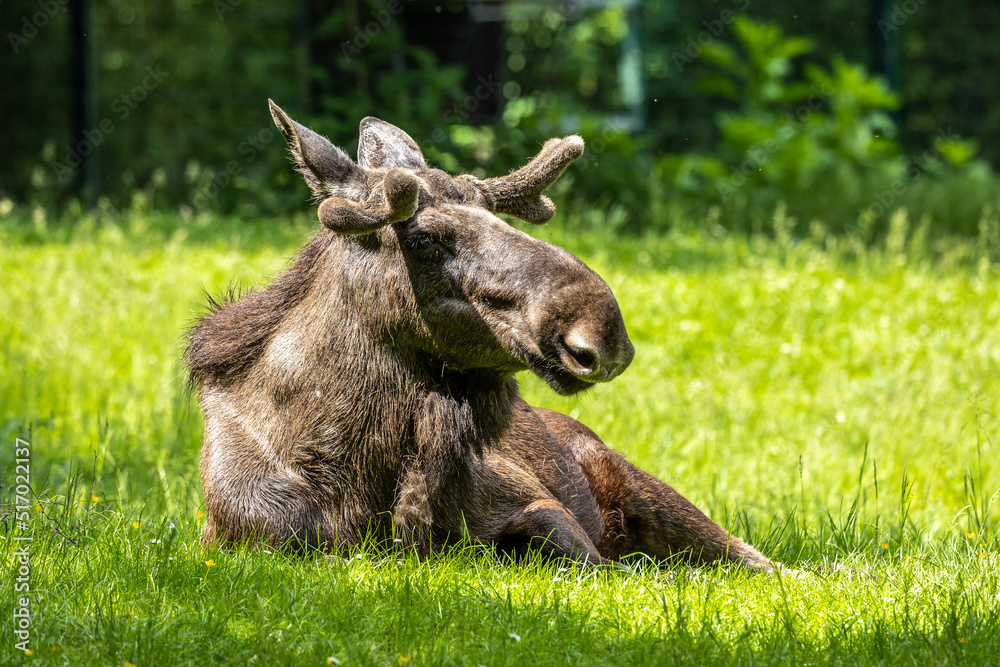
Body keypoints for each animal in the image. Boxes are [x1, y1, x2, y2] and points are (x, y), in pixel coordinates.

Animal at [188, 100, 780, 576]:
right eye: (424, 239)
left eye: (497, 216)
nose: (602, 332)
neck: (358, 479)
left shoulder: (535, 501)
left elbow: (590, 556)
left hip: (647, 489)